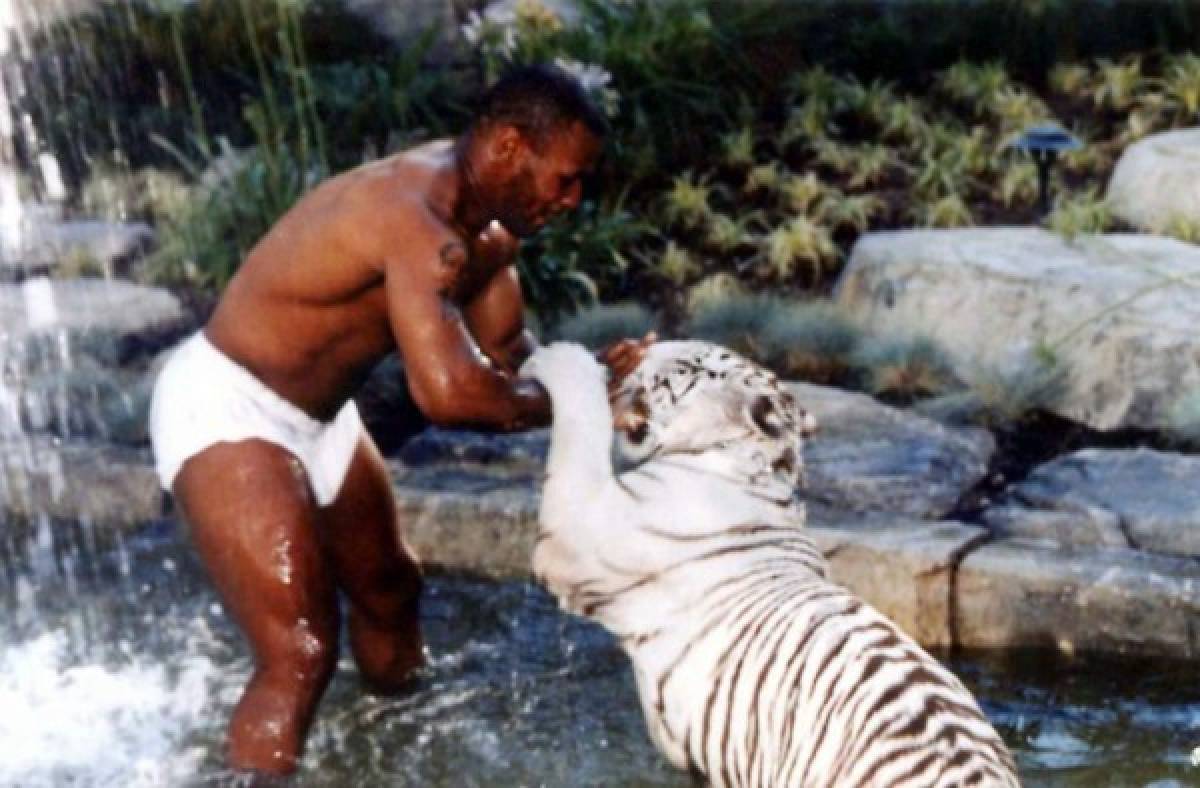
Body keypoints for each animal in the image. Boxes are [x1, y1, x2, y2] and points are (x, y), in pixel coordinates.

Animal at [518, 340, 1019, 788]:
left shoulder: (580, 530)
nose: (628, 353)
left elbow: (581, 417)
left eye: (687, 365)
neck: (751, 465)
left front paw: (554, 358)